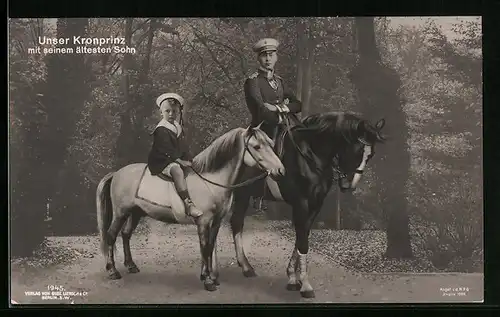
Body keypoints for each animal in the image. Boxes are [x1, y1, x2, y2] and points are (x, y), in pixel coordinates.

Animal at [230, 111, 386, 296]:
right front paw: (305, 285)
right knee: (236, 223)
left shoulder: (315, 205)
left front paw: (292, 277)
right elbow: (303, 242)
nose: (349, 185)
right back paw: (246, 267)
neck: (311, 155)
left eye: (370, 155)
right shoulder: (301, 204)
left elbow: (301, 237)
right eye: (356, 151)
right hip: (241, 195)